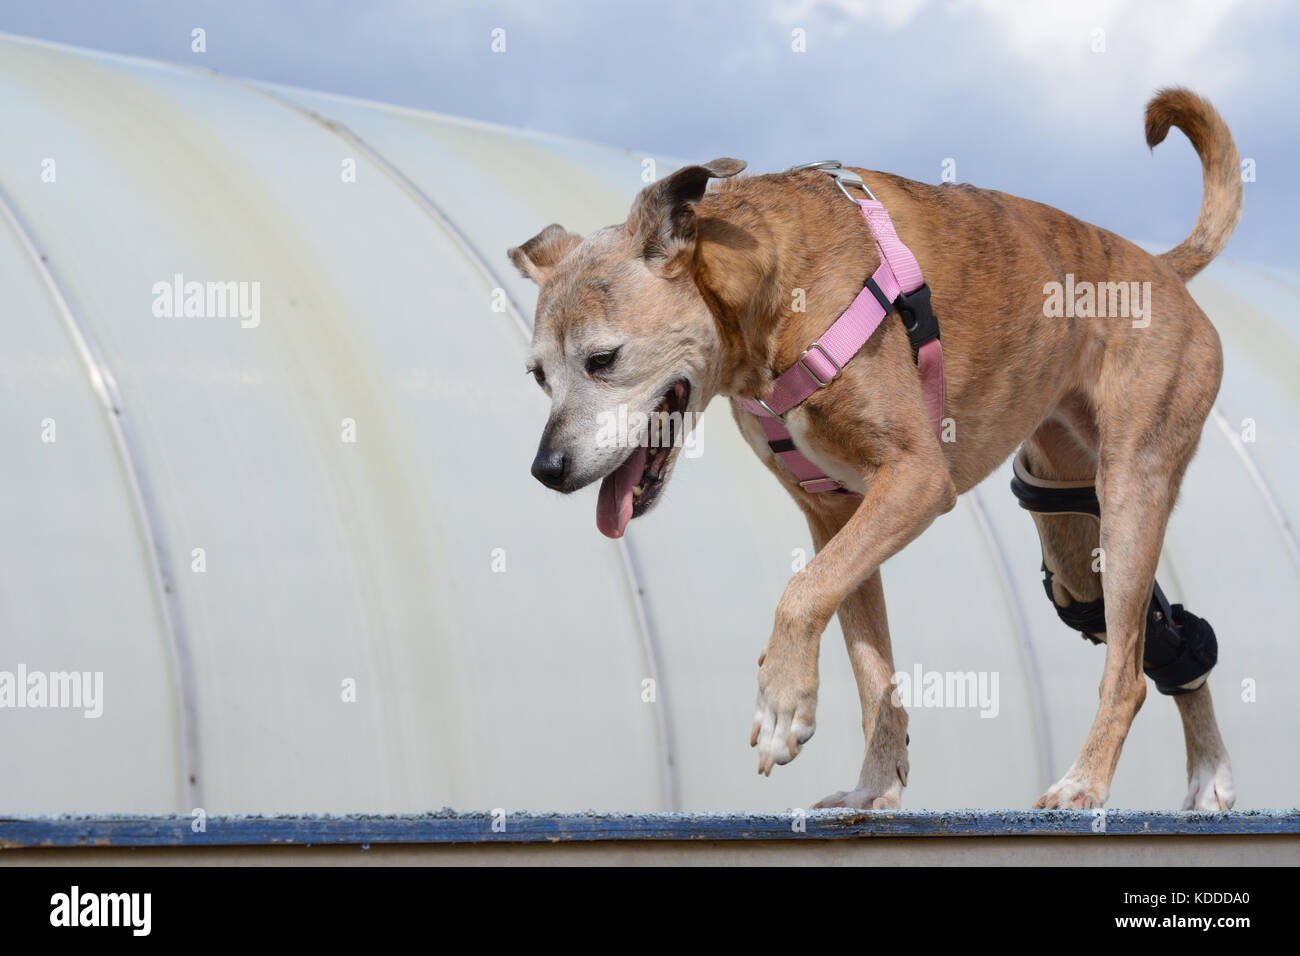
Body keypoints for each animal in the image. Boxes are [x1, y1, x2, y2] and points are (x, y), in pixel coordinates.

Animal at [506, 87, 1237, 806]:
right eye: (538, 375)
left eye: (603, 359)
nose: (546, 470)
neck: (768, 294)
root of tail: (1161, 269)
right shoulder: (834, 514)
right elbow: (868, 661)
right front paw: (874, 785)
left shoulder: (915, 480)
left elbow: (803, 590)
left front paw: (781, 702)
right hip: (1069, 528)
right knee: (1165, 638)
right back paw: (1210, 774)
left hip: (1130, 495)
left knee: (1128, 671)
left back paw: (1088, 782)